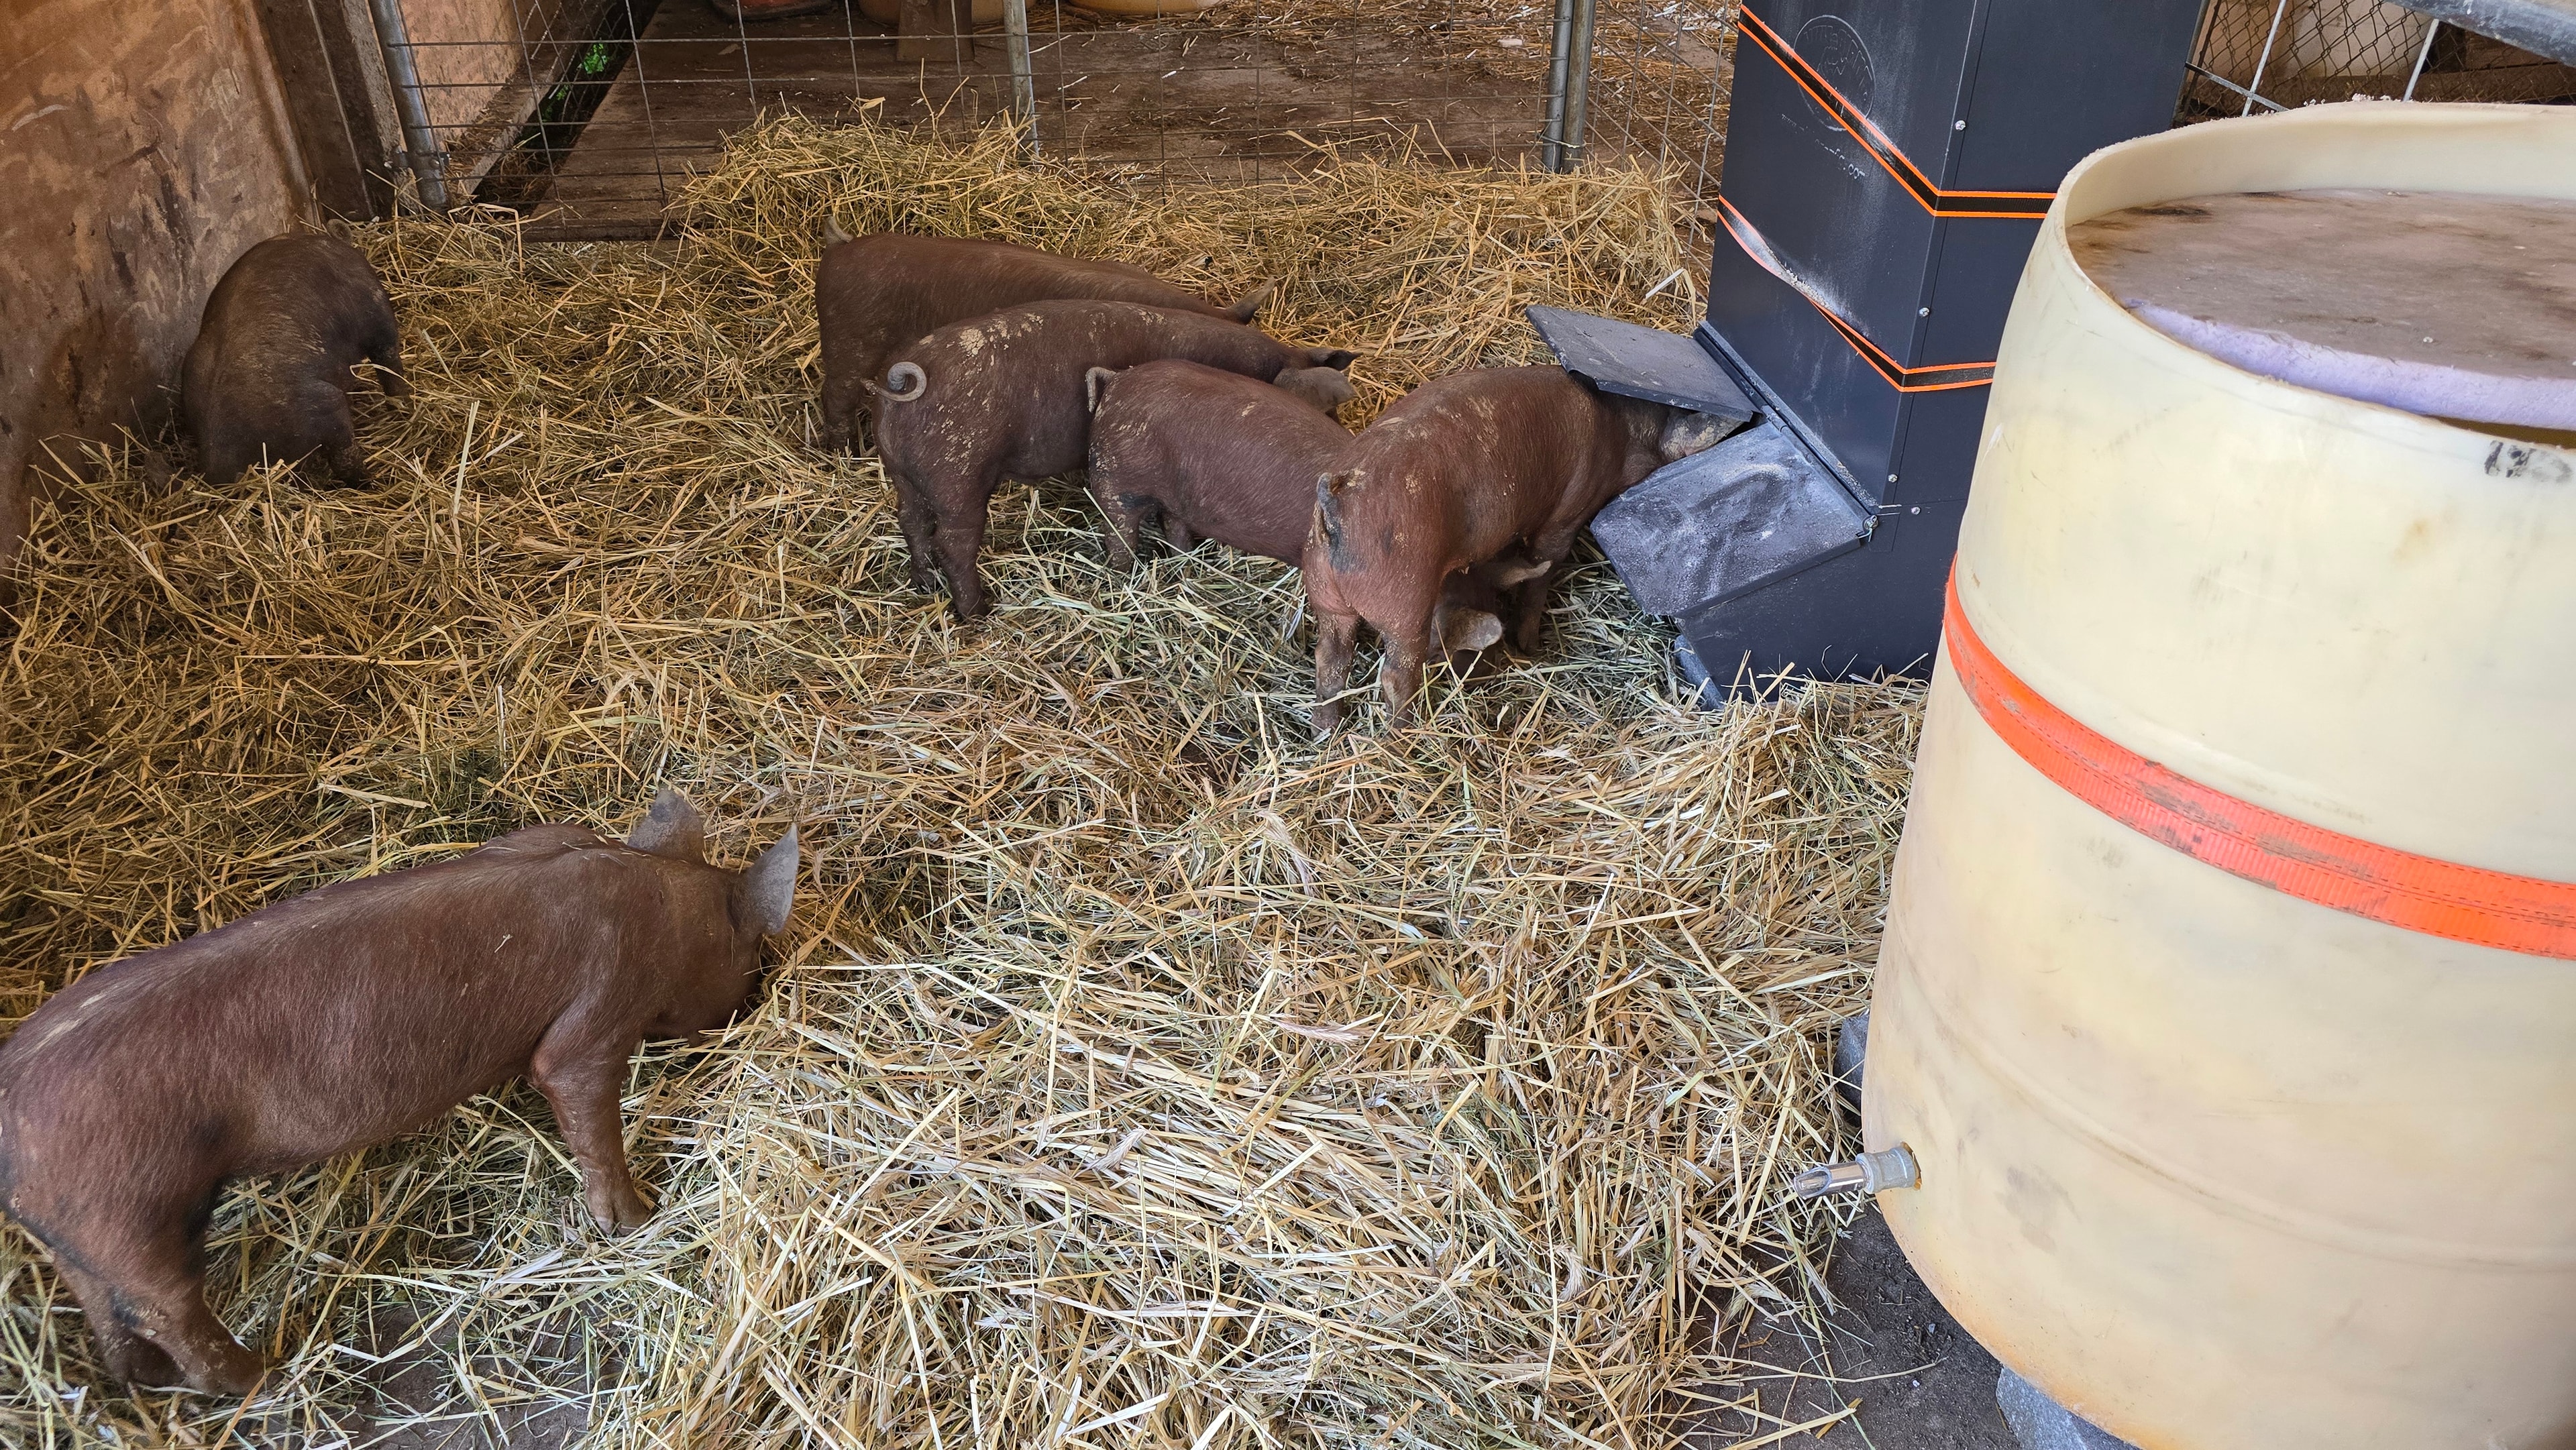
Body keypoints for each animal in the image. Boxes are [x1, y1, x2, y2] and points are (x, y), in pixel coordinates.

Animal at [0, 790, 796, 1395]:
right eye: (752, 944)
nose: (759, 993)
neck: (660, 899)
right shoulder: (598, 1015)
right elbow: (578, 1098)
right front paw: (637, 1219)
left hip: (80, 1233)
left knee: (104, 1303)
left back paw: (142, 1381)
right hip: (133, 1210)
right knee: (162, 1308)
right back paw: (260, 1376)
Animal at [874, 300, 1357, 621]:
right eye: (1323, 410)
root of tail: (906, 380)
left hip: (901, 473)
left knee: (911, 521)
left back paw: (923, 584)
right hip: (960, 474)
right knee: (953, 543)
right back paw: (979, 612)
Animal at [1082, 359, 1516, 665]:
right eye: (1456, 649)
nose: (1488, 670)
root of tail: (1115, 382)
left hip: (1171, 497)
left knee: (1174, 524)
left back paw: (1186, 563)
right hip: (1113, 477)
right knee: (1119, 531)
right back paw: (1121, 576)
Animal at [1303, 366, 1735, 733]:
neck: (1623, 431)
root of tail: (1336, 505)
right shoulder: (1567, 510)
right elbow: (1543, 565)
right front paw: (1532, 648)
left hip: (1324, 590)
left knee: (1329, 658)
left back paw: (1327, 731)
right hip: (1404, 599)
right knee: (1394, 674)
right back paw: (1407, 731)